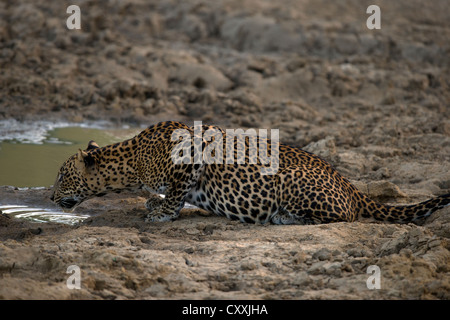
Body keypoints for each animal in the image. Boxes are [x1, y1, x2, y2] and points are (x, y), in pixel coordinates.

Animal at [51, 120, 448, 225]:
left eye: (60, 174)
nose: (50, 197)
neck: (132, 160)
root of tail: (351, 185)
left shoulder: (195, 147)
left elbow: (177, 192)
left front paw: (161, 212)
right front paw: (155, 204)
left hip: (293, 182)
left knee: (343, 215)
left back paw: (286, 217)